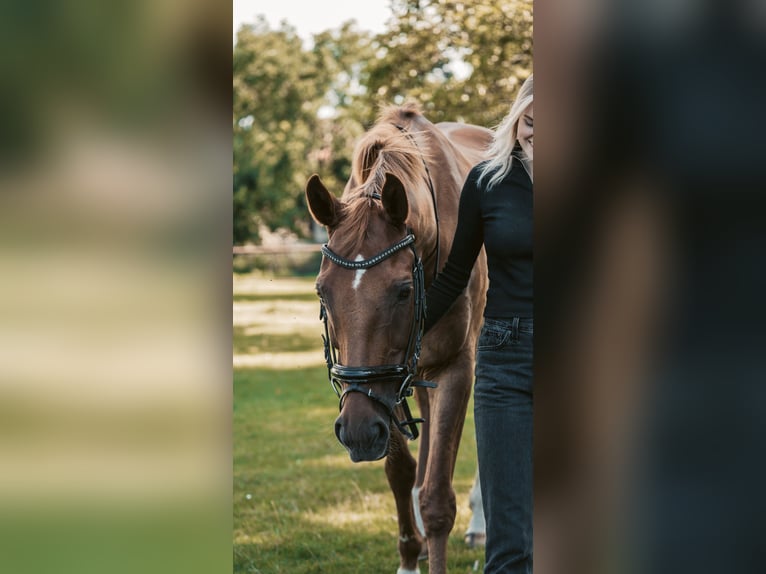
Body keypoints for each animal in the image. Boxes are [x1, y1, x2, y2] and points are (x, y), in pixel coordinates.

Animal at [306, 104, 492, 574]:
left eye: (403, 291)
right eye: (322, 291)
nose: (355, 432)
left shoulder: (455, 367)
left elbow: (437, 498)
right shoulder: (379, 384)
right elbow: (400, 473)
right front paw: (411, 554)